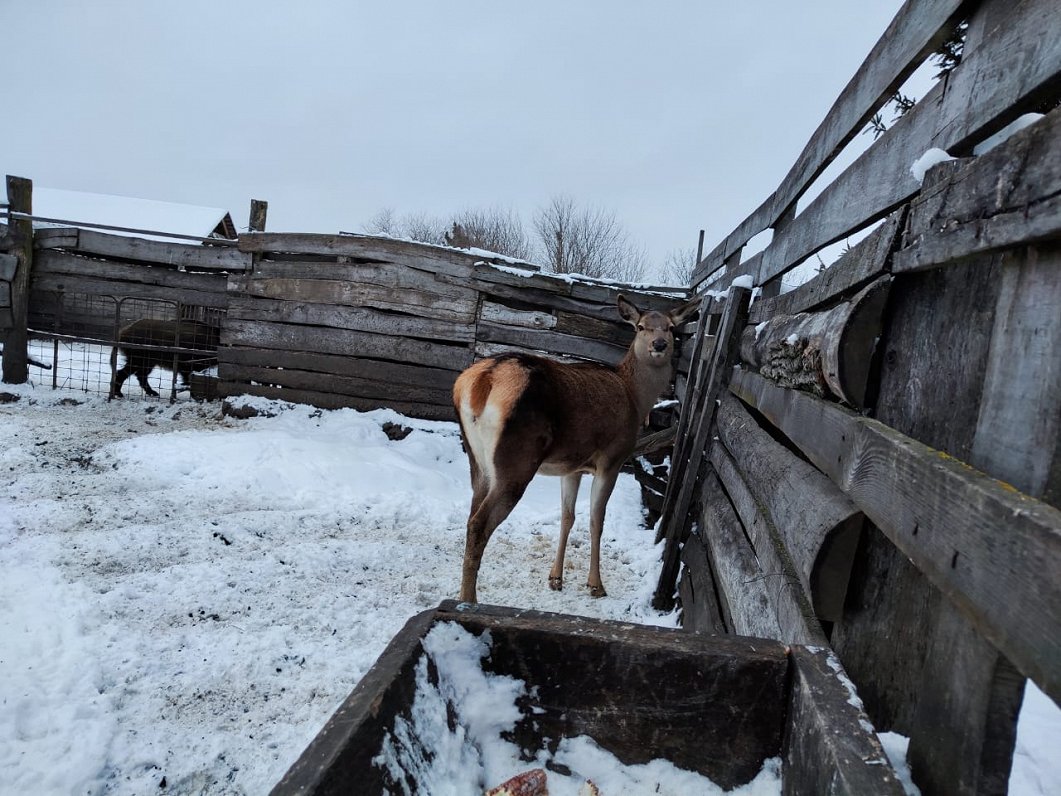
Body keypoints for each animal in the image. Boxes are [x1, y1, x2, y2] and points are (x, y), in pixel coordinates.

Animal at [451, 295, 700, 602]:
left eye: (670, 327)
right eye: (641, 326)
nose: (660, 344)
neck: (635, 398)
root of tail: (481, 382)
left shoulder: (572, 466)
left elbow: (567, 517)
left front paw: (555, 578)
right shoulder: (612, 459)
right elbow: (596, 520)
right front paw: (596, 585)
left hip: (477, 459)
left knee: (471, 513)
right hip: (516, 461)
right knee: (479, 523)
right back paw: (469, 601)